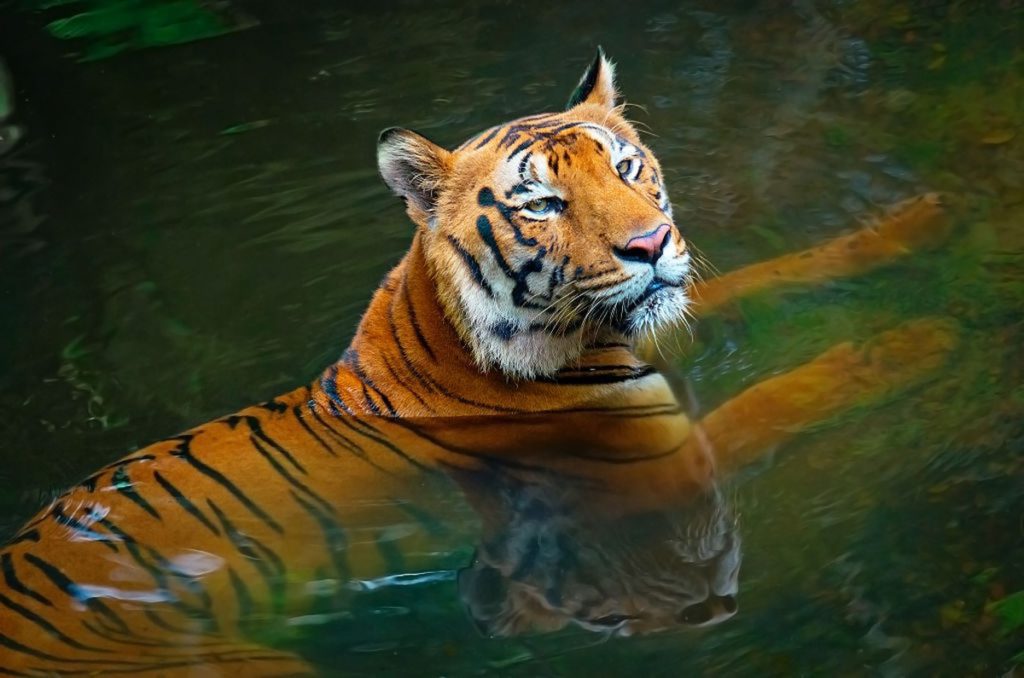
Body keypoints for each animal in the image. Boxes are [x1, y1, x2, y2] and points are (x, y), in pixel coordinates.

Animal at [0, 48, 958, 675]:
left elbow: (777, 270)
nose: (652, 245)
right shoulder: (667, 468)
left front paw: (917, 220)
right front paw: (916, 340)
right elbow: (785, 395)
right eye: (542, 203)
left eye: (626, 166)